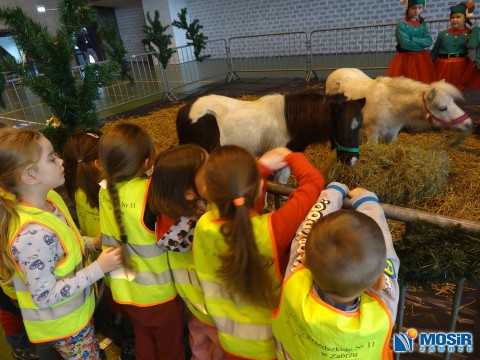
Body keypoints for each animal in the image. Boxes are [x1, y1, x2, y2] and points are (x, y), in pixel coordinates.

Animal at [324, 67, 470, 142]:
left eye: (453, 101)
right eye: (443, 108)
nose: (468, 124)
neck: (391, 105)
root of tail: (336, 71)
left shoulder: (393, 133)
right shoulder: (373, 133)